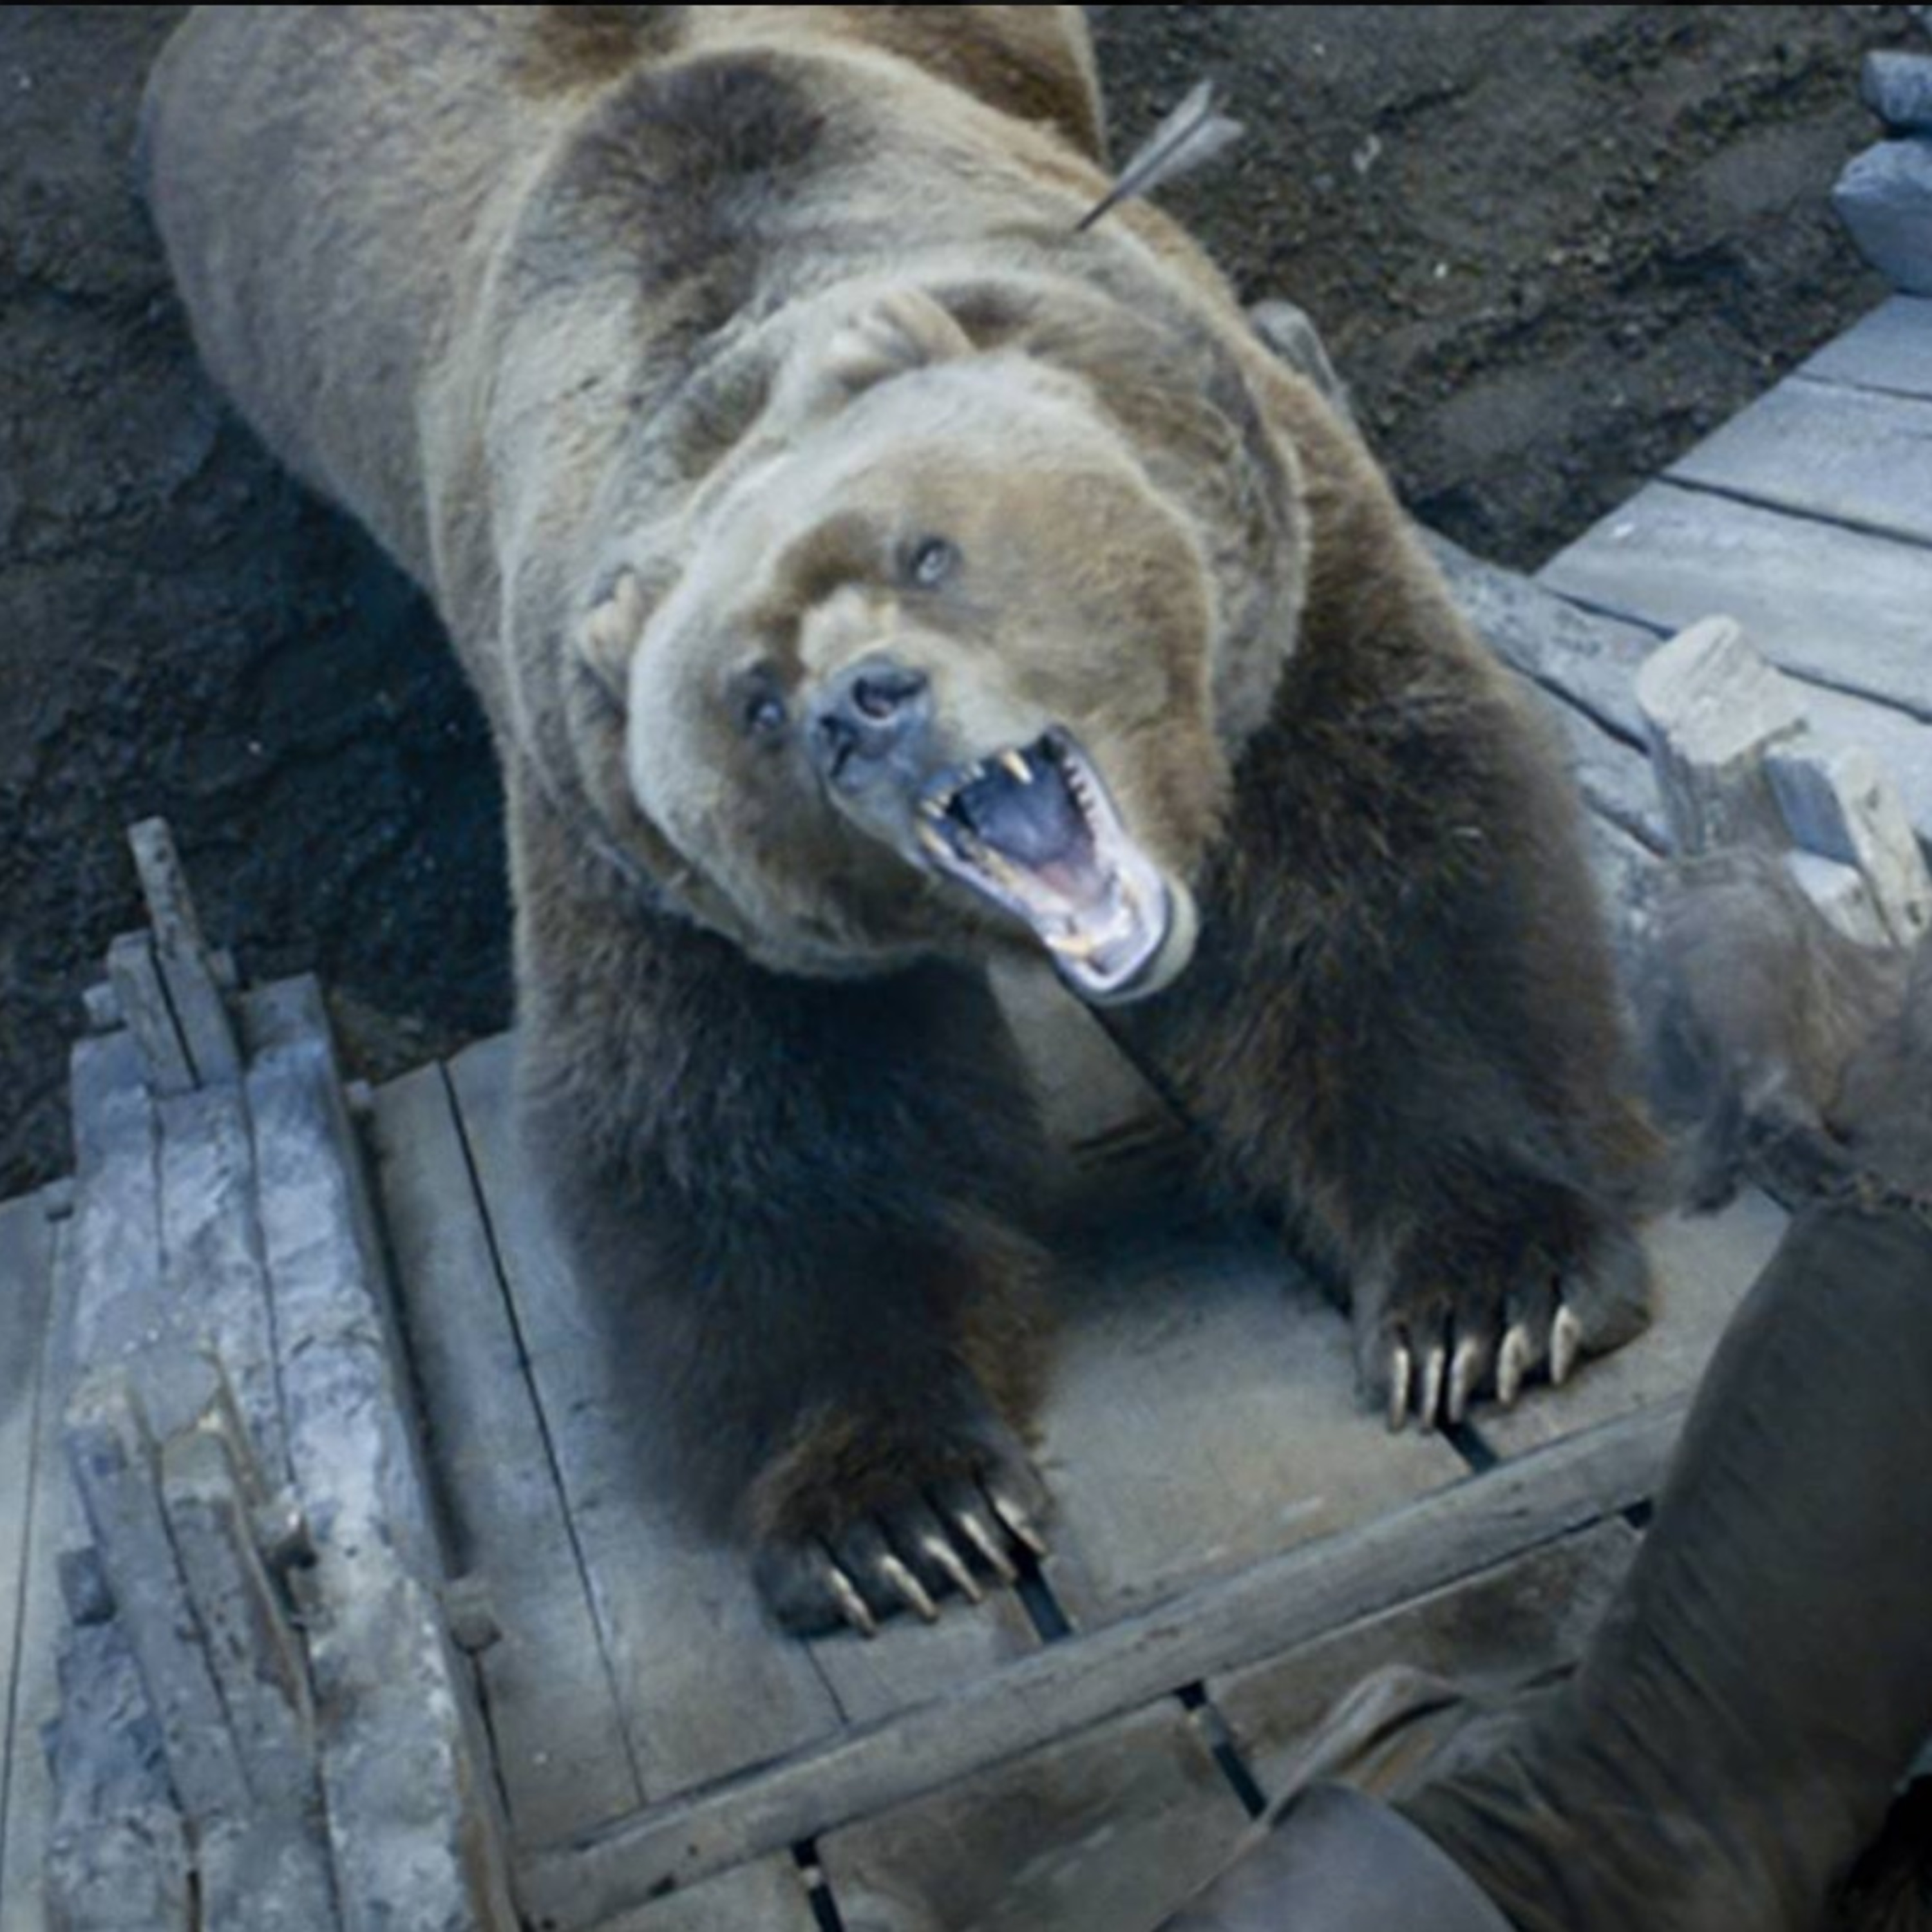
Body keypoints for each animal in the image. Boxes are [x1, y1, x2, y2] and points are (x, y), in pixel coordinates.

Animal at [140, 4, 1657, 1636]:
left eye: (927, 549)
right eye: (749, 695)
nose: (862, 708)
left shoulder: (1270, 572)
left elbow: (1381, 875)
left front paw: (1488, 1297)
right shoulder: (635, 842)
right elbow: (746, 1122)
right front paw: (902, 1513)